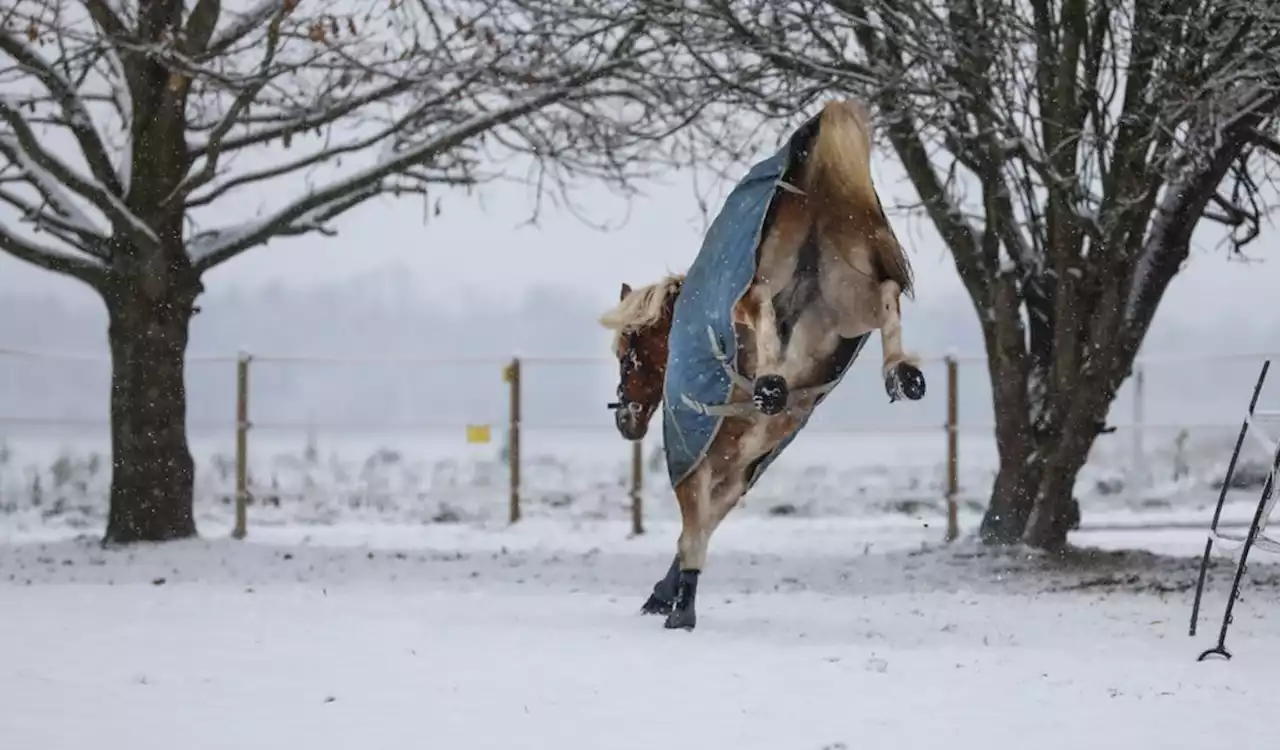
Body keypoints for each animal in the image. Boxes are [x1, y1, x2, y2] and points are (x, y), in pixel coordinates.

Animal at [599, 96, 921, 627]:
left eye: (627, 359)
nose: (624, 418)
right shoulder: (739, 469)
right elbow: (702, 529)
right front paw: (670, 594)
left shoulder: (709, 468)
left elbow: (693, 531)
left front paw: (677, 605)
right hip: (847, 297)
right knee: (887, 292)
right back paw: (902, 374)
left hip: (783, 281)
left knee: (755, 299)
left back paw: (772, 384)